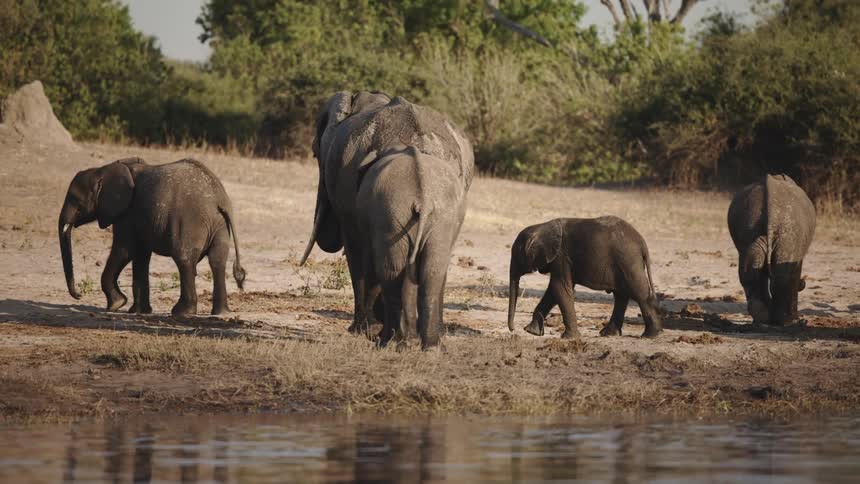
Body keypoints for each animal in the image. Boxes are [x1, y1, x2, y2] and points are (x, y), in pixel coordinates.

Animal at [59, 157, 246, 316]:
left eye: (75, 200)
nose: (79, 295)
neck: (103, 169)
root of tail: (219, 198)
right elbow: (140, 256)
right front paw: (137, 311)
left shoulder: (127, 214)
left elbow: (125, 251)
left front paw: (116, 304)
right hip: (219, 224)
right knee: (217, 260)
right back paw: (221, 313)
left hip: (191, 222)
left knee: (184, 259)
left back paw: (181, 312)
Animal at [356, 145, 468, 349]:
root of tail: (423, 198)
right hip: (438, 219)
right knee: (431, 272)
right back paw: (430, 348)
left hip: (392, 217)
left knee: (390, 272)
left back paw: (388, 342)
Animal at [507, 217, 662, 339]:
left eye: (517, 255)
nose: (513, 330)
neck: (541, 227)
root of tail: (642, 244)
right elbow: (553, 291)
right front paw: (531, 332)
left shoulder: (561, 257)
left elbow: (560, 289)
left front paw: (569, 338)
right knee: (621, 295)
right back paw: (608, 334)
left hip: (628, 261)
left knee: (639, 294)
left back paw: (650, 335)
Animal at [727, 174, 815, 325]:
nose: (803, 283)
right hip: (790, 227)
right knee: (785, 274)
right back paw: (789, 322)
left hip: (748, 220)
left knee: (750, 269)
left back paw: (763, 319)